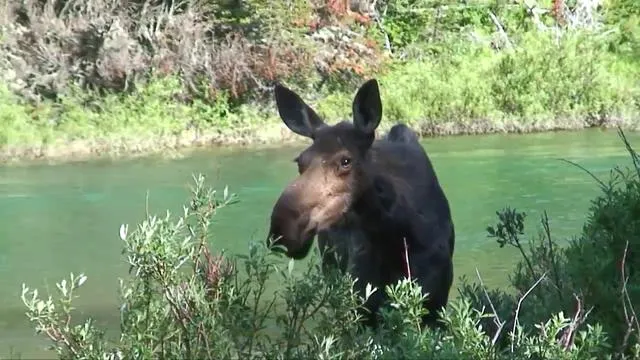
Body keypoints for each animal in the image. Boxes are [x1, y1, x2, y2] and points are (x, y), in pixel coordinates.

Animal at [264, 79, 456, 330]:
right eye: (299, 161)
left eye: (346, 160)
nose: (282, 229)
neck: (397, 234)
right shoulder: (364, 301)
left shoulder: (436, 301)